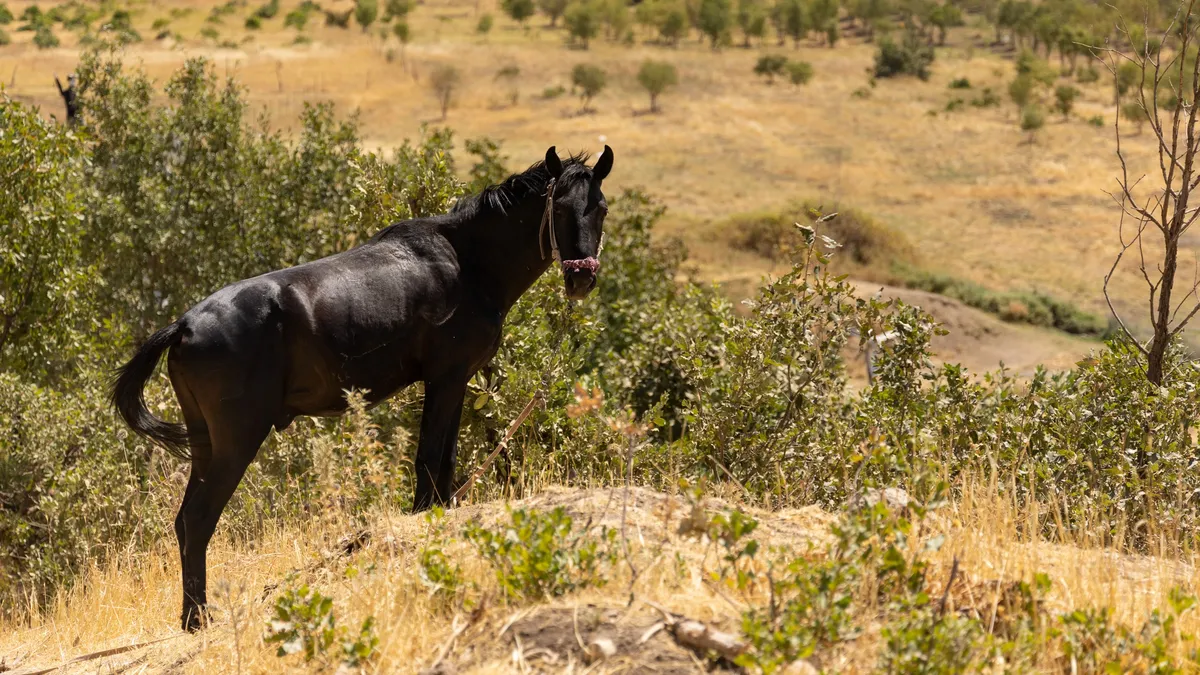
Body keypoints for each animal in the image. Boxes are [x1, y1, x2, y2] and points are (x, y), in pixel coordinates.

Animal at [111, 145, 614, 631]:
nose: (582, 276)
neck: (468, 263)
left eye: (601, 207)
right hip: (238, 440)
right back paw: (198, 619)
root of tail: (185, 324)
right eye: (560, 208)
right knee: (199, 520)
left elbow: (444, 464)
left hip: (205, 442)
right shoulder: (447, 378)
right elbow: (431, 459)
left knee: (183, 522)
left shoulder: (456, 381)